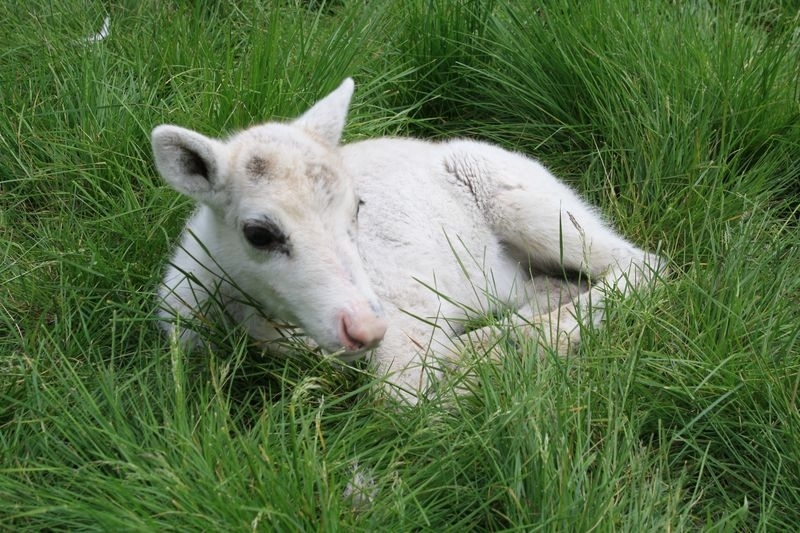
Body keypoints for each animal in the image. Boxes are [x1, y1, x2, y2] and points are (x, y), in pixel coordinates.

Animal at [153, 77, 664, 396]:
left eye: (357, 207)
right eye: (258, 233)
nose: (365, 328)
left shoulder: (406, 305)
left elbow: (398, 401)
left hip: (529, 201)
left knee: (641, 265)